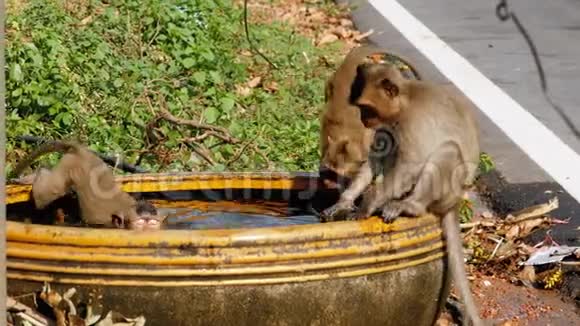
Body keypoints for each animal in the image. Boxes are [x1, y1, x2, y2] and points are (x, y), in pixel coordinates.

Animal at [11, 140, 165, 229]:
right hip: (70, 165)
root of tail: (81, 151)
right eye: (140, 223)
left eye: (153, 223)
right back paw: (39, 171)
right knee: (47, 194)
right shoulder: (104, 223)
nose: (147, 230)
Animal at [322, 63, 480, 324]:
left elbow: (411, 164)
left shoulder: (411, 121)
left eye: (366, 108)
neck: (405, 100)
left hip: (448, 189)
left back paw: (410, 206)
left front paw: (366, 206)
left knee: (447, 150)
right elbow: (376, 158)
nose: (364, 119)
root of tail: (454, 202)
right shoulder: (387, 124)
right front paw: (344, 202)